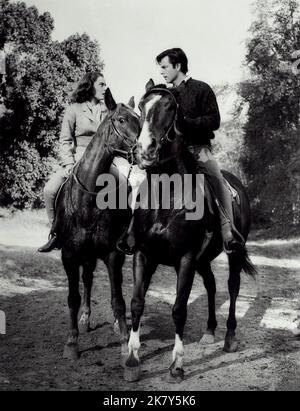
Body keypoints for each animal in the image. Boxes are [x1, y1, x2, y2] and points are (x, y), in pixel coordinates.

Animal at [53, 90, 139, 364]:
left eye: (140, 119)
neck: (88, 199)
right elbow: (72, 297)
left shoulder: (112, 255)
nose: (146, 149)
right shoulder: (69, 255)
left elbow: (118, 300)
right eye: (121, 120)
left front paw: (124, 344)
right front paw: (72, 343)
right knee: (87, 280)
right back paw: (85, 318)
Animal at [123, 80, 255, 384]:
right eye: (141, 106)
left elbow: (179, 309)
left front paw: (177, 365)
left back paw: (229, 337)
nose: (144, 149)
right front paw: (132, 360)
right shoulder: (143, 255)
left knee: (232, 286)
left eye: (171, 107)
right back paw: (209, 331)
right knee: (212, 285)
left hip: (231, 253)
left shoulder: (185, 259)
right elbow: (137, 302)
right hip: (203, 260)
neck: (166, 197)